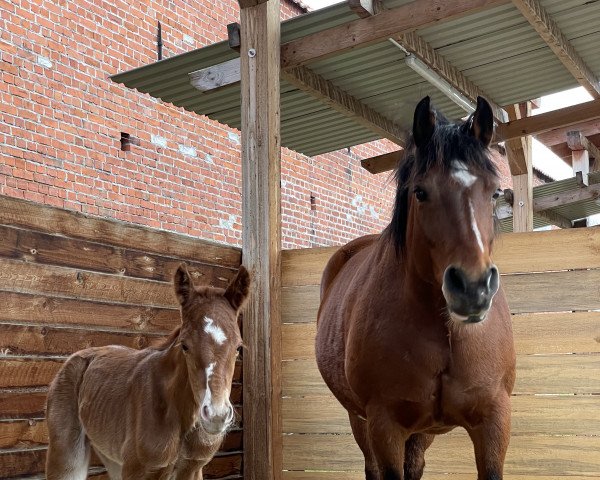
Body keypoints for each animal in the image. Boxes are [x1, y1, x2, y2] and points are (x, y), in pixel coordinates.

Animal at [45, 264, 250, 478]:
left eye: (238, 347)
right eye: (184, 345)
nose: (217, 416)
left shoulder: (193, 467)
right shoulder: (140, 470)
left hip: (111, 455)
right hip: (67, 455)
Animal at [316, 97, 516, 480]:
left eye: (494, 192)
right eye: (420, 192)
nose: (473, 288)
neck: (444, 332)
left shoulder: (494, 421)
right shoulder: (385, 425)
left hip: (424, 431)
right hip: (360, 420)